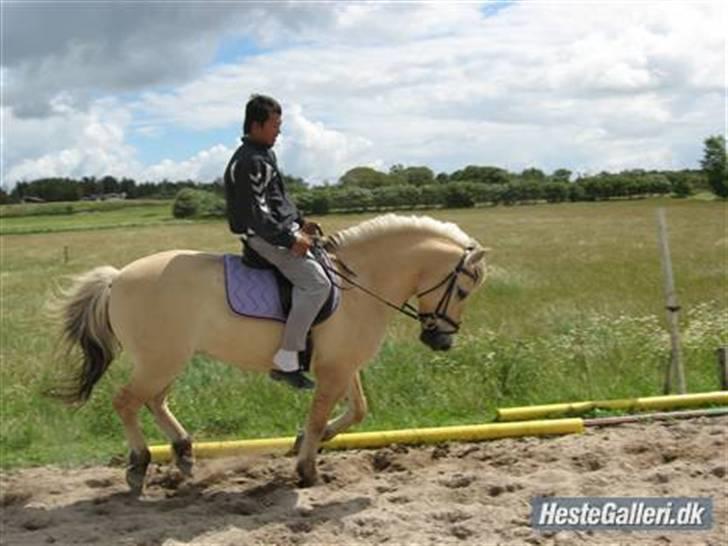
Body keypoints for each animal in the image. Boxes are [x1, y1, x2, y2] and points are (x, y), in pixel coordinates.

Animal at [51, 212, 490, 488]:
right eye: (463, 290)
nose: (442, 341)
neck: (361, 283)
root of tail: (116, 278)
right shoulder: (334, 369)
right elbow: (320, 414)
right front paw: (307, 469)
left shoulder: (343, 364)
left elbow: (356, 411)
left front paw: (303, 442)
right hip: (161, 360)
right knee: (126, 402)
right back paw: (140, 464)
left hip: (166, 360)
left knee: (154, 401)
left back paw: (184, 452)